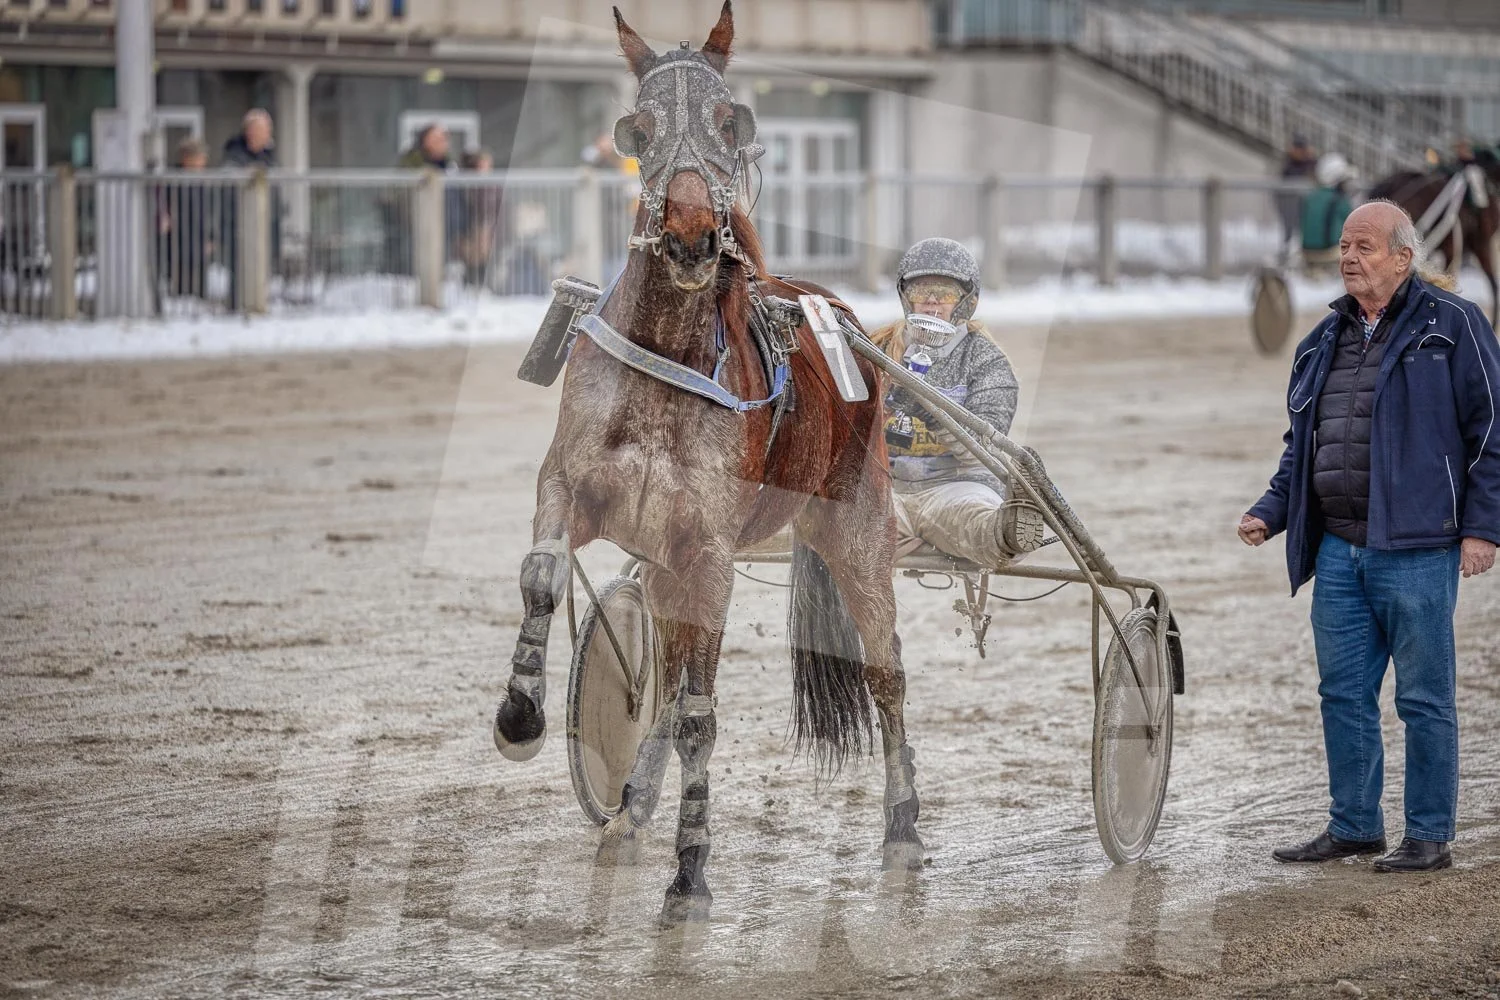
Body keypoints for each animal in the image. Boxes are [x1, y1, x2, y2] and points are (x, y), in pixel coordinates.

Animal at [490, 1, 923, 925]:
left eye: (730, 121)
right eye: (640, 128)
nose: (690, 240)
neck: (667, 354)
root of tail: (838, 310)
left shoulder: (710, 549)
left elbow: (701, 716)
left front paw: (690, 873)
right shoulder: (575, 489)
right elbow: (544, 576)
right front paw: (520, 714)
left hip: (858, 528)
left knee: (885, 670)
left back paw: (903, 826)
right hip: (671, 565)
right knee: (674, 674)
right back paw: (630, 808)